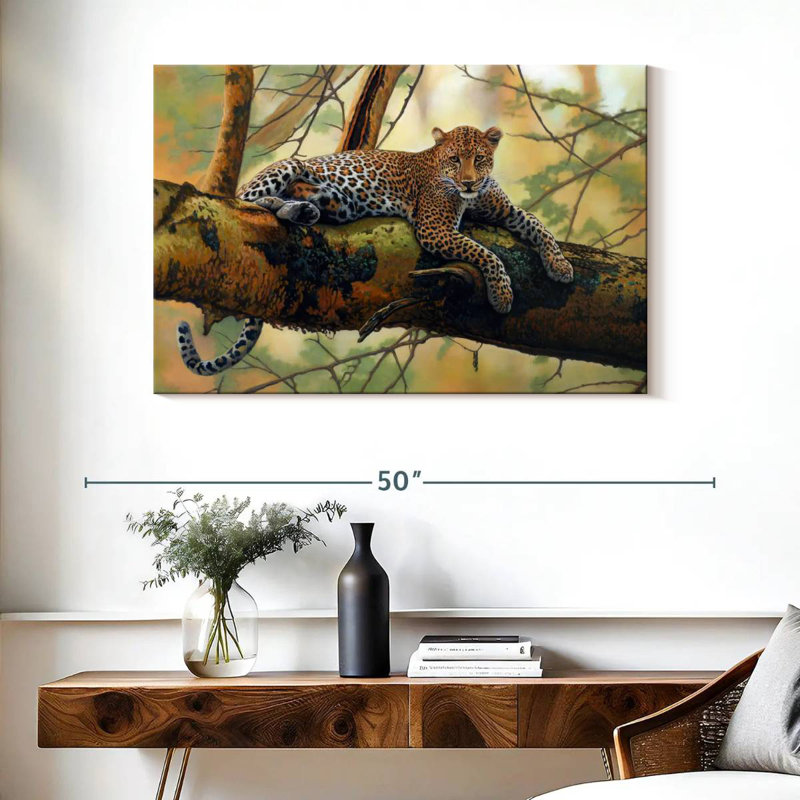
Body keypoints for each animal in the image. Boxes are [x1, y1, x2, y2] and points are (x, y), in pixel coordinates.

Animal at [177, 125, 573, 376]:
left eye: (478, 158)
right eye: (454, 159)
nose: (468, 182)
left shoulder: (502, 211)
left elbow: (536, 224)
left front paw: (561, 266)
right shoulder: (435, 229)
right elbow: (485, 253)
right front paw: (502, 293)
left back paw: (304, 209)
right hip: (287, 166)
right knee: (247, 203)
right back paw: (292, 208)